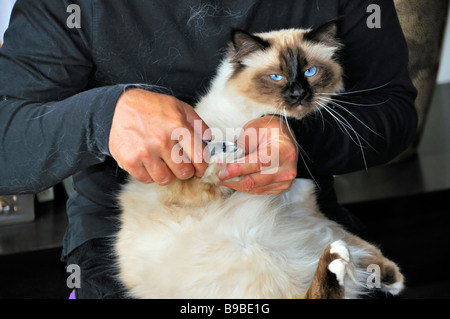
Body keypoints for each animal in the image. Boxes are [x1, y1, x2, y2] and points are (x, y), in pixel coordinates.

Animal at [113, 21, 404, 300]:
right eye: (277, 77)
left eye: (311, 72)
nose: (298, 95)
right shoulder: (178, 180)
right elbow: (201, 177)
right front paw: (225, 154)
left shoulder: (304, 208)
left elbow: (354, 239)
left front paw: (390, 277)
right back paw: (337, 261)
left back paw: (354, 266)